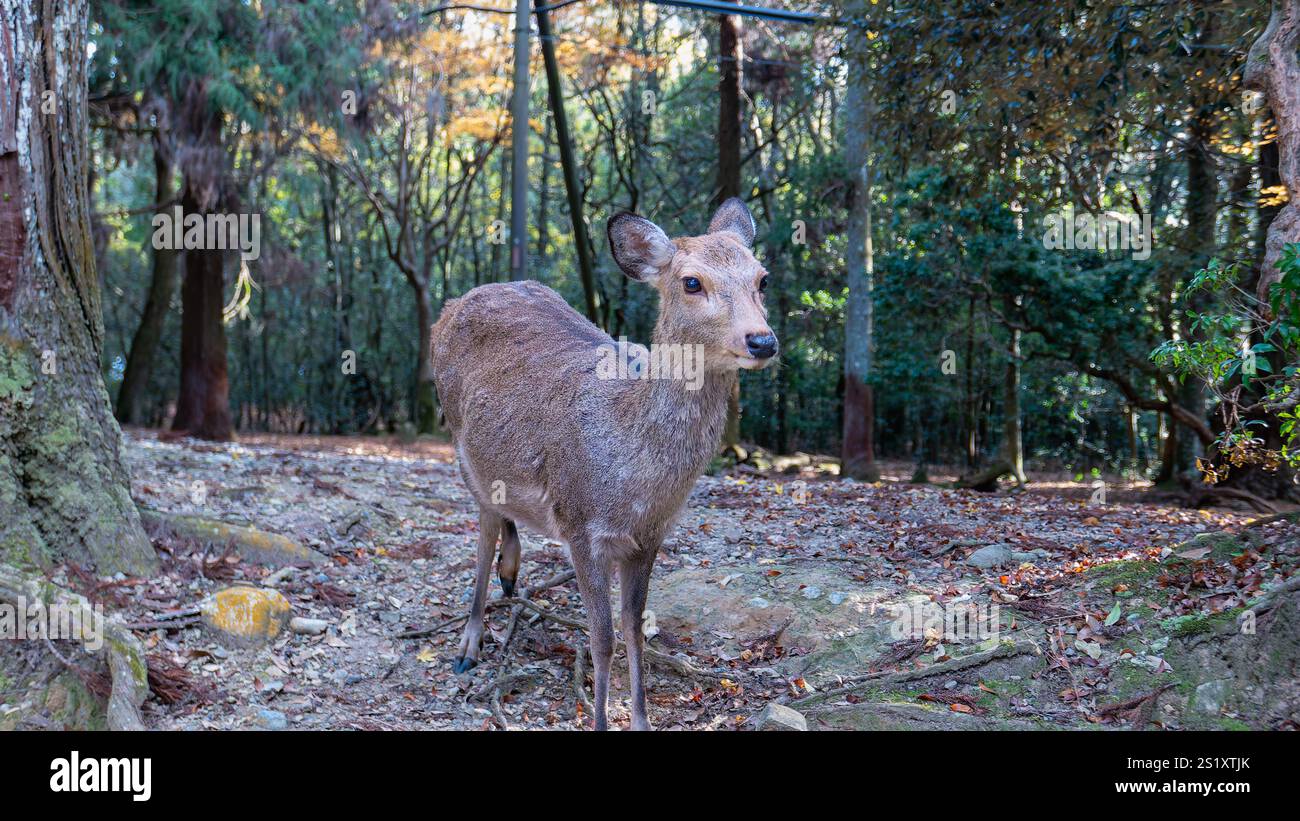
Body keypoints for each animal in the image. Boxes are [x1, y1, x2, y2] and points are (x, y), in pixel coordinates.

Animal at [429, 198, 777, 730]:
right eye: (691, 282)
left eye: (762, 279)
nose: (762, 341)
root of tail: (449, 309)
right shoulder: (581, 528)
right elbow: (602, 639)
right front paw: (599, 720)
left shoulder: (650, 538)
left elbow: (635, 631)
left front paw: (641, 721)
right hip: (460, 441)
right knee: (483, 528)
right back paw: (470, 641)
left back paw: (512, 574)